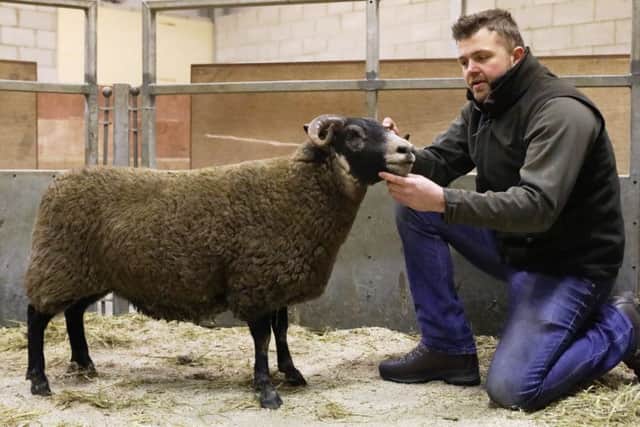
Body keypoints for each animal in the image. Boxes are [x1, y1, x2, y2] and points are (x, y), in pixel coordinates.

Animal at [24, 114, 415, 409]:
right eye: (354, 134)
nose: (408, 150)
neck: (299, 190)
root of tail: (57, 183)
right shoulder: (255, 281)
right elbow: (262, 338)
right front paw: (266, 390)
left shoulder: (275, 279)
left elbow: (282, 331)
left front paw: (291, 372)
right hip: (58, 263)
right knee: (38, 316)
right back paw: (39, 380)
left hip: (87, 273)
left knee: (73, 314)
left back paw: (85, 364)